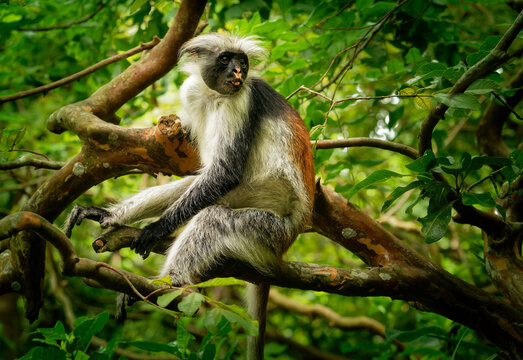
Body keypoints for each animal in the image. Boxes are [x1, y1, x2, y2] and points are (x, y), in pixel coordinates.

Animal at [63, 33, 314, 360]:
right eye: (225, 59)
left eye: (242, 61)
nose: (238, 72)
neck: (214, 96)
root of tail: (293, 234)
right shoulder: (193, 92)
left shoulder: (242, 99)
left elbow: (224, 173)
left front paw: (156, 229)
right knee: (192, 189)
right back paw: (110, 218)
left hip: (268, 231)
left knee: (213, 217)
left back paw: (169, 284)